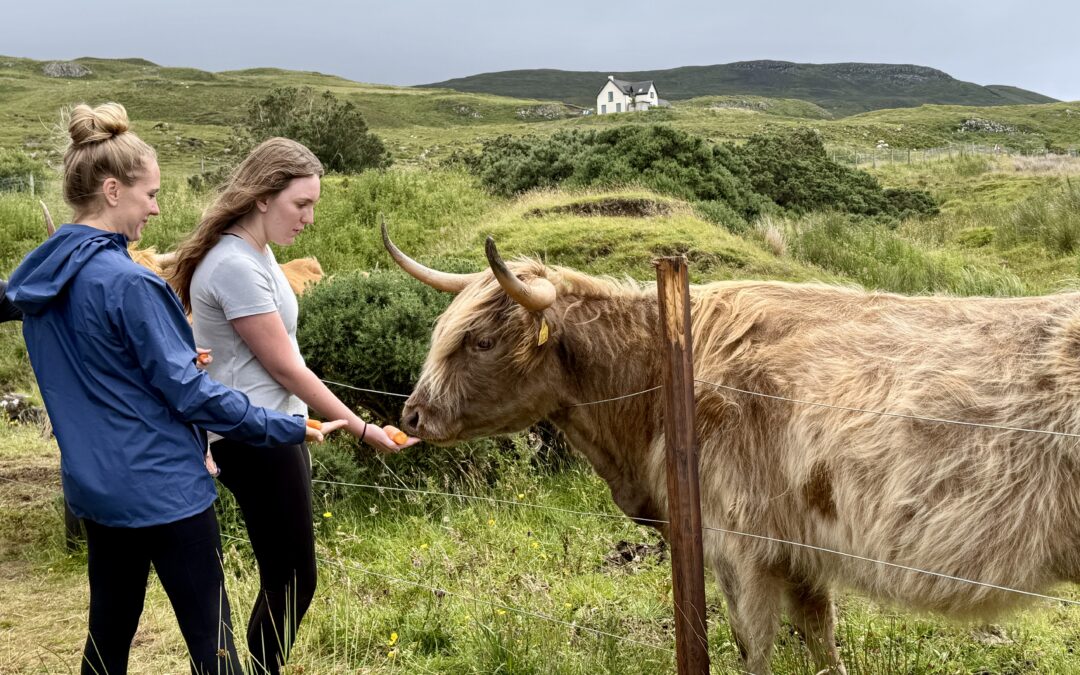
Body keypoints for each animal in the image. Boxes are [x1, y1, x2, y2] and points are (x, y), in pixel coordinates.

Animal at [383, 223, 1080, 674]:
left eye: (479, 341)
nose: (410, 414)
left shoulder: (739, 543)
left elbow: (754, 645)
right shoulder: (799, 549)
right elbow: (821, 640)